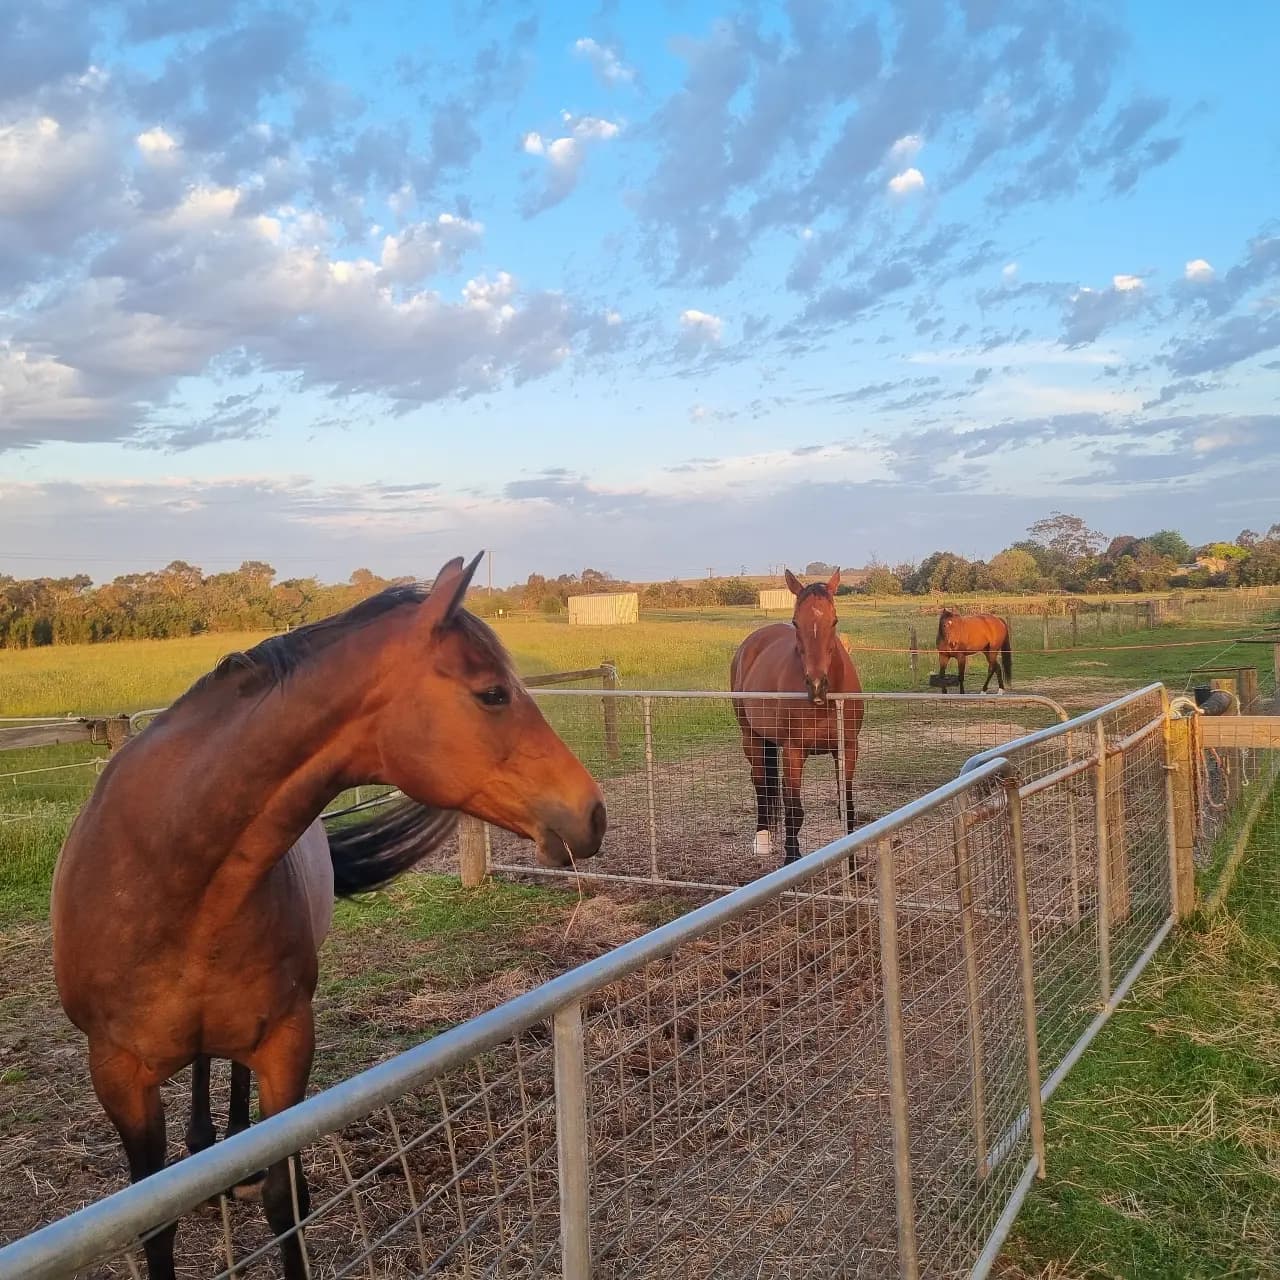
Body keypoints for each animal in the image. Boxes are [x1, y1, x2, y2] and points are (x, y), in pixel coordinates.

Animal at [51, 554, 607, 1280]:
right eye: (492, 694)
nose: (593, 812)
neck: (163, 868)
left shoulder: (286, 1045)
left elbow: (285, 1197)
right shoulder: (117, 1075)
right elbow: (155, 1226)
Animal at [729, 569, 864, 864]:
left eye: (834, 621)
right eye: (796, 622)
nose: (816, 685)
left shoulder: (847, 748)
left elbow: (846, 807)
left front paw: (852, 864)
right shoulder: (794, 750)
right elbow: (794, 810)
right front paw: (792, 858)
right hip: (751, 737)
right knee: (761, 782)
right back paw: (763, 839)